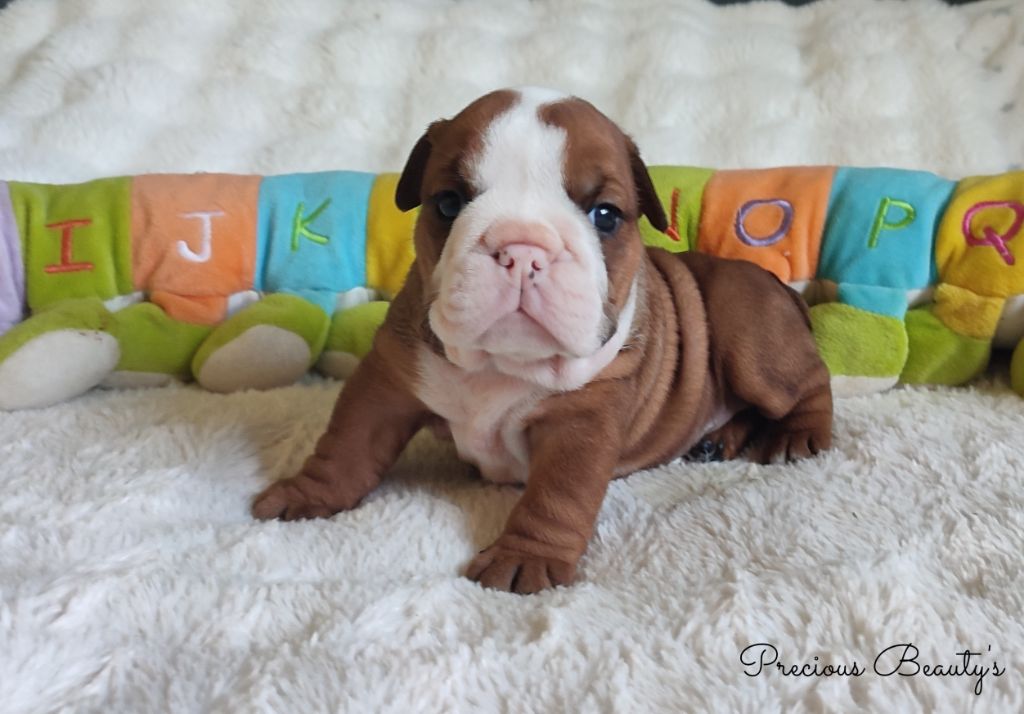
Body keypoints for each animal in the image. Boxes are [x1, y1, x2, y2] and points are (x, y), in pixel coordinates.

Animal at [252, 87, 833, 593]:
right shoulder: (388, 380)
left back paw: (796, 437)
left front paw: (523, 559)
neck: (501, 365)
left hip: (747, 333)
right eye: (448, 204)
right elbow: (346, 443)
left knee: (809, 383)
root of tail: (780, 288)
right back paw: (720, 440)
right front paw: (306, 494)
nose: (522, 249)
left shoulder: (581, 422)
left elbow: (557, 495)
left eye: (605, 215)